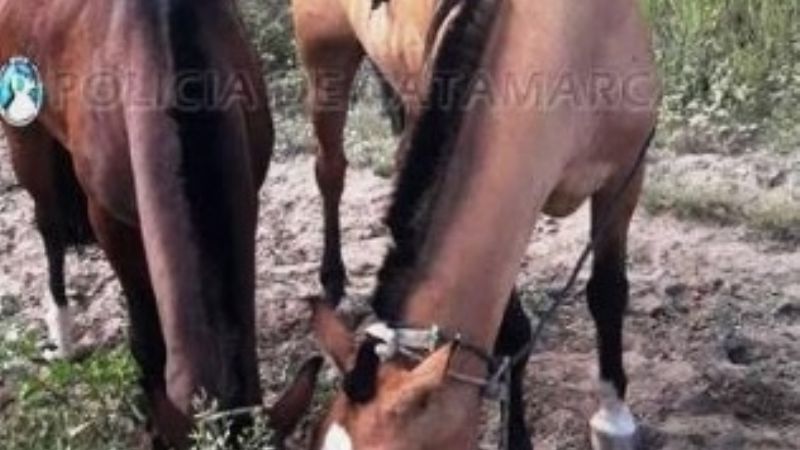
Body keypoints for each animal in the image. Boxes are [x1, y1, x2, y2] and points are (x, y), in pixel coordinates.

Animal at [0, 0, 317, 446]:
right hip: (24, 132)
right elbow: (145, 339)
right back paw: (62, 333)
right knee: (49, 226)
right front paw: (145, 415)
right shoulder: (110, 220)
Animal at [302, 0, 661, 449]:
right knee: (330, 169)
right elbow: (514, 333)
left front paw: (613, 419)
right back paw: (332, 276)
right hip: (322, 50)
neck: (572, 39)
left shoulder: (625, 174)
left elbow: (608, 294)